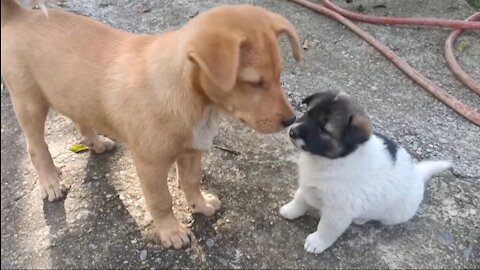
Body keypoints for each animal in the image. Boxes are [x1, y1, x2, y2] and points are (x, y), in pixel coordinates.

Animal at [0, 0, 300, 249]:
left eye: (279, 75)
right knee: (36, 147)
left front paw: (200, 205)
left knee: (80, 117)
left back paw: (95, 142)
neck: (195, 101)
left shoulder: (192, 152)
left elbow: (191, 181)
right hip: (29, 102)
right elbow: (161, 200)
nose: (291, 120)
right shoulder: (150, 164)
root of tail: (20, 15)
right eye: (254, 82)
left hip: (72, 94)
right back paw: (50, 182)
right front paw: (171, 231)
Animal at [280, 92, 452, 254]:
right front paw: (290, 210)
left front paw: (316, 243)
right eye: (308, 113)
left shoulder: (338, 211)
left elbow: (327, 228)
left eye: (323, 128)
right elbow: (299, 200)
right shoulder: (308, 186)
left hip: (394, 215)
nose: (292, 132)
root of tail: (418, 173)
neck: (330, 160)